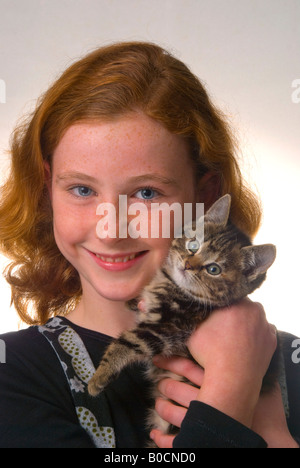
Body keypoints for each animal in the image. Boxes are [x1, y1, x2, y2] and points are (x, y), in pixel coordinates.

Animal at [88, 194, 278, 438]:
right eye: (193, 245)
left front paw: (99, 376)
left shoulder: (170, 328)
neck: (170, 284)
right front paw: (133, 301)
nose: (188, 265)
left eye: (213, 269)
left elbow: (127, 341)